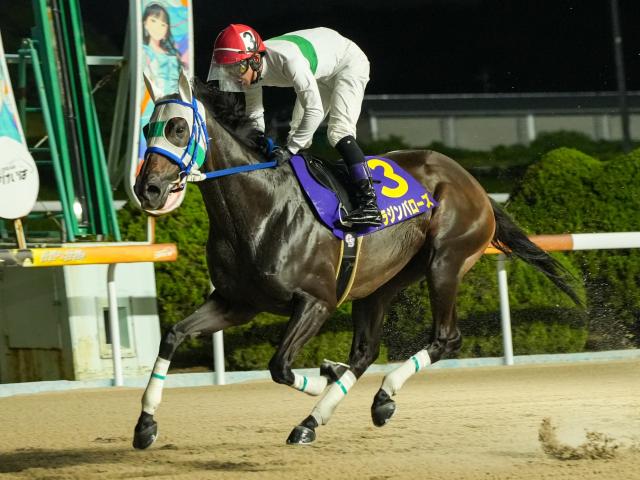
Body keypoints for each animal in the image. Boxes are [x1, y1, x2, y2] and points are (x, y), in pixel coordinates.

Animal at [131, 70, 580, 449]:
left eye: (178, 128)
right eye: (147, 127)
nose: (148, 189)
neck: (262, 209)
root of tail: (474, 184)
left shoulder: (316, 302)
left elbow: (280, 366)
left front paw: (324, 374)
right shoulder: (237, 302)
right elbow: (173, 334)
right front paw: (145, 425)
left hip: (445, 262)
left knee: (445, 338)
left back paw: (374, 397)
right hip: (381, 283)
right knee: (365, 352)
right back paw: (320, 417)